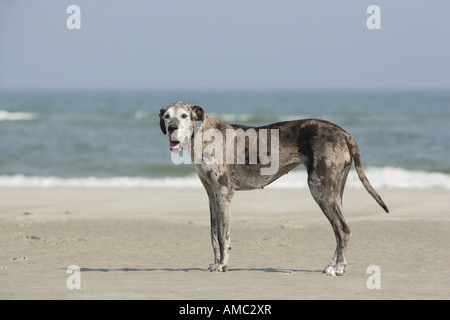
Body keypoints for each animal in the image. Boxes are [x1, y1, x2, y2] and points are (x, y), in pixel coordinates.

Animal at [159, 102, 386, 276]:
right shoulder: (211, 194)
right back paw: (334, 264)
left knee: (342, 229)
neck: (203, 134)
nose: (171, 128)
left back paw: (337, 268)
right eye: (167, 116)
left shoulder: (223, 193)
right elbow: (214, 233)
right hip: (335, 191)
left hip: (319, 189)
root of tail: (345, 133)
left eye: (184, 115)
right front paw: (216, 262)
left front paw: (222, 264)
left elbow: (223, 234)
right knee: (339, 231)